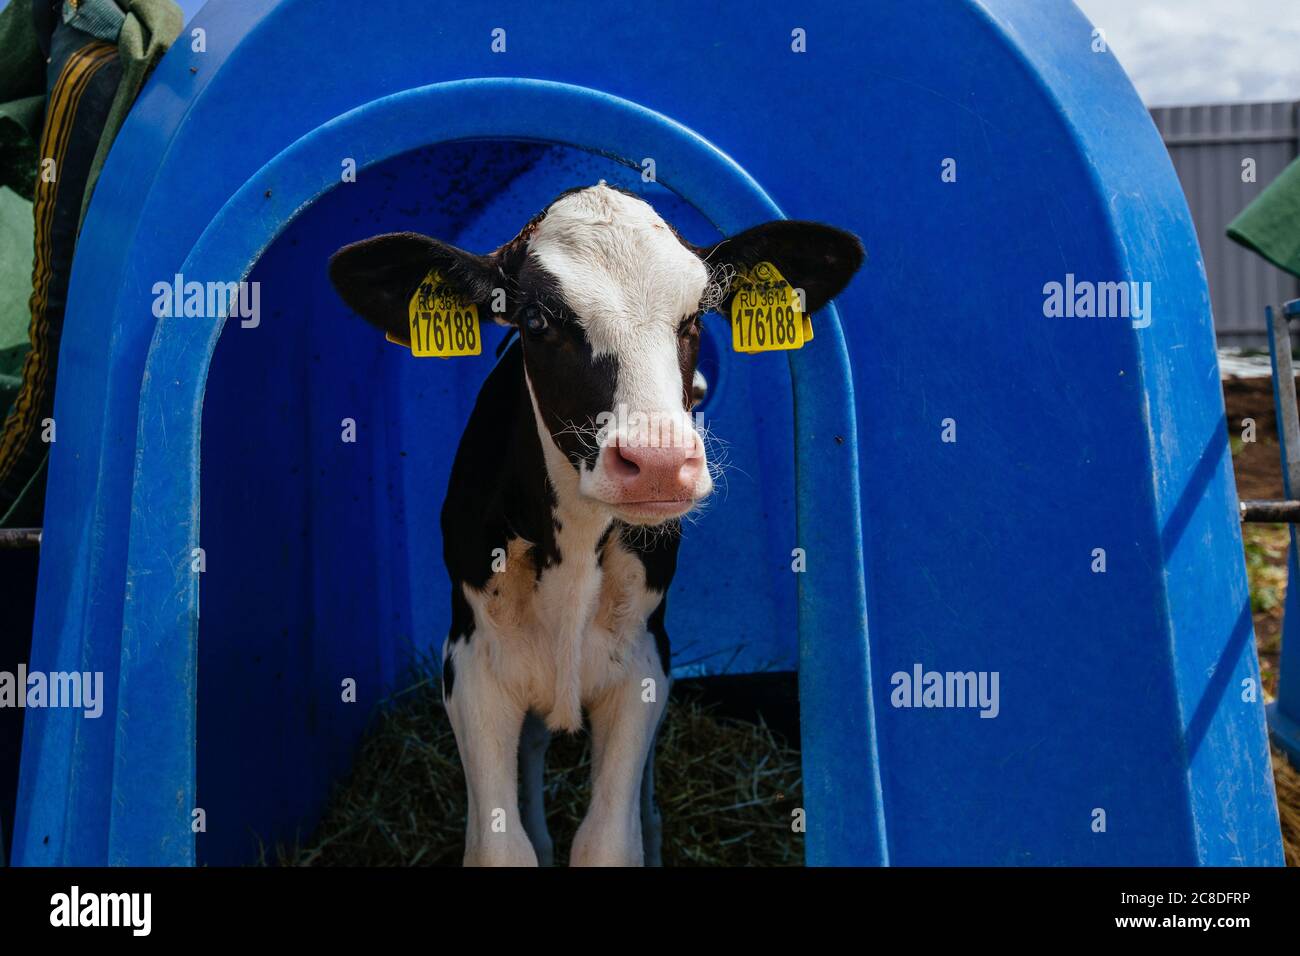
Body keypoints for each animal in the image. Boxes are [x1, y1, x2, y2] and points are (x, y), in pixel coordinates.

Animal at [329, 183, 862, 866]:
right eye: (536, 321)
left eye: (695, 317)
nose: (658, 462)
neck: (577, 545)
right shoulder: (471, 667)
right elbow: (503, 847)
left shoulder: (641, 666)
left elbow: (607, 841)